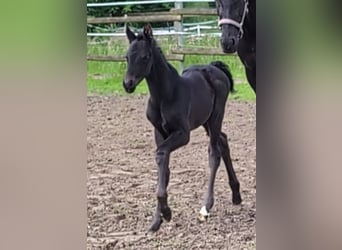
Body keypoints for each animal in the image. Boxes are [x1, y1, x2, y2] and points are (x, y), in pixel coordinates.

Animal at [121, 24, 242, 231]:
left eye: (145, 56)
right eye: (127, 57)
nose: (127, 84)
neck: (165, 95)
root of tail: (215, 67)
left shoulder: (183, 134)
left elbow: (161, 154)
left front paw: (166, 212)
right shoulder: (159, 132)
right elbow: (164, 167)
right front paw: (157, 219)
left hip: (216, 117)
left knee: (214, 152)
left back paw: (206, 207)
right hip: (206, 121)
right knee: (224, 140)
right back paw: (236, 195)